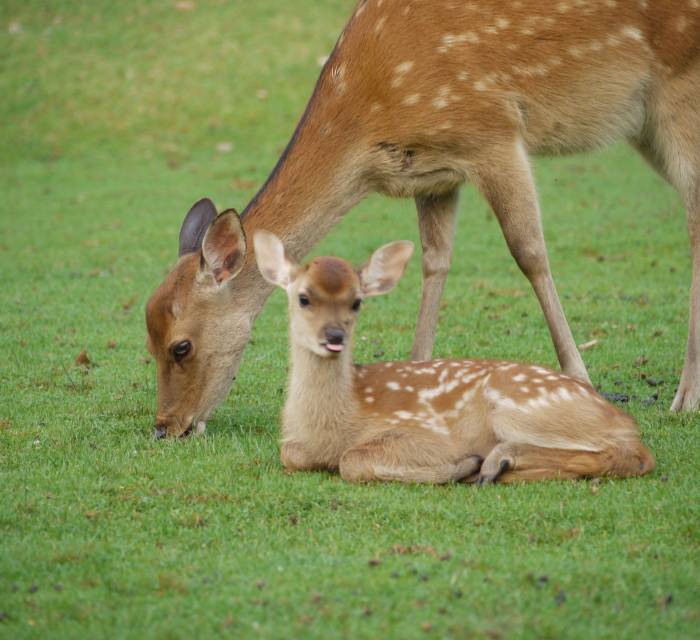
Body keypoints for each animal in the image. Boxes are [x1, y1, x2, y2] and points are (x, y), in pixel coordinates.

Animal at [146, 0, 700, 438]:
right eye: (146, 339)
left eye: (181, 346)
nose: (164, 427)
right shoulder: (435, 174)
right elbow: (435, 262)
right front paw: (414, 384)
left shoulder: (494, 131)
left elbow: (529, 253)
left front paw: (580, 382)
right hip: (644, 125)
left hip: (679, 89)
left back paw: (685, 398)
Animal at [253, 228, 656, 482]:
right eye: (303, 298)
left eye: (356, 301)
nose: (334, 336)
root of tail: (619, 415)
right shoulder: (295, 447)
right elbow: (291, 455)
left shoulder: (426, 433)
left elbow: (351, 460)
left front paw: (460, 466)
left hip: (520, 407)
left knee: (634, 453)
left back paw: (494, 463)